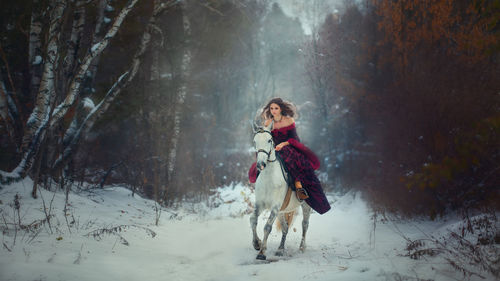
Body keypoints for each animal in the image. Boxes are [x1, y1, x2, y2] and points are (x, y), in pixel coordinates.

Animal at [252, 121, 310, 260]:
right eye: (255, 141)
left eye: (269, 140)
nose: (261, 164)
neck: (269, 178)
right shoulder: (260, 204)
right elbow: (253, 220)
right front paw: (257, 244)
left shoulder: (275, 206)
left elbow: (267, 226)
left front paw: (261, 252)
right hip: (281, 211)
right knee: (285, 227)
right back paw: (280, 249)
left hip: (305, 205)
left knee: (305, 224)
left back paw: (302, 247)